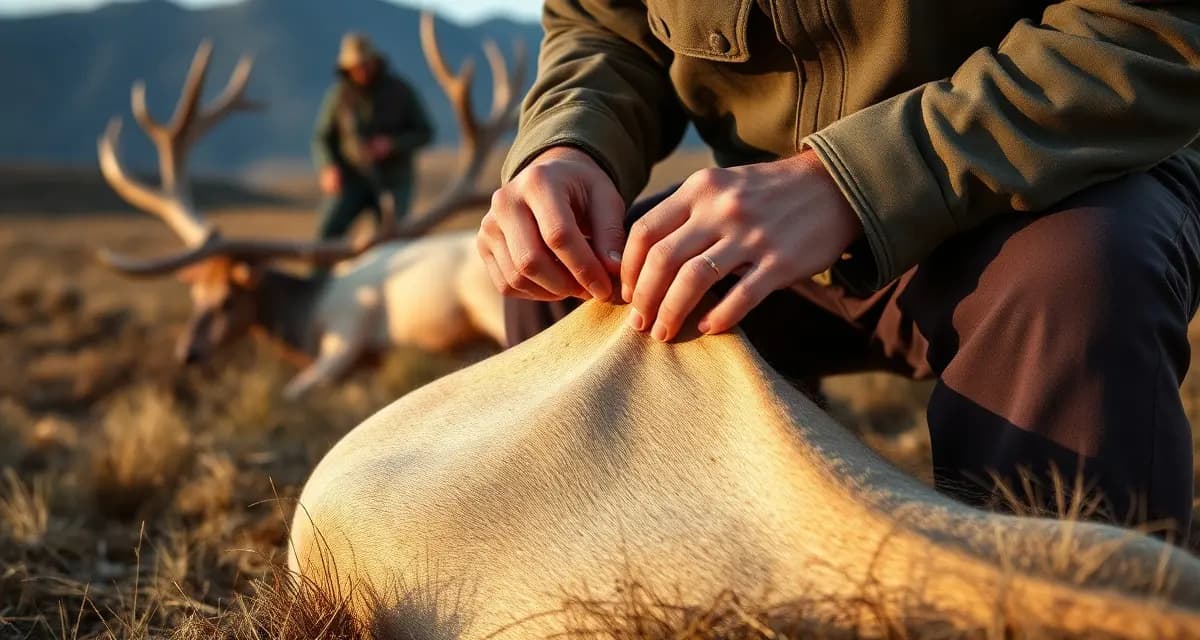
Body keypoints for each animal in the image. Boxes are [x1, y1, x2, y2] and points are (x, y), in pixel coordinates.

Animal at [96, 14, 524, 399]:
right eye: (196, 294)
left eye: (228, 299)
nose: (187, 353)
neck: (306, 320)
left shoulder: (345, 338)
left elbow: (291, 392)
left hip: (485, 300)